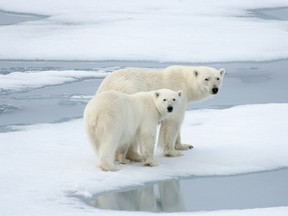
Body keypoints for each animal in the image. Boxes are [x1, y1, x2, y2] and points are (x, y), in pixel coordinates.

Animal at [97, 65, 225, 156]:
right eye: (206, 79)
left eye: (218, 78)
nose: (215, 89)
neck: (185, 82)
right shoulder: (176, 94)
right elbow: (173, 122)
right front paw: (172, 151)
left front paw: (185, 146)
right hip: (128, 93)